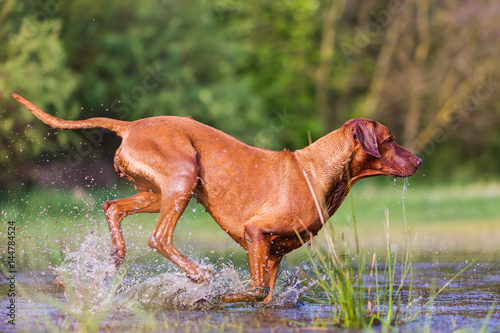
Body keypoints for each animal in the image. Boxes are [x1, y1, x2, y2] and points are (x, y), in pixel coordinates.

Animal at [10, 92, 418, 300]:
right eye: (390, 140)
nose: (418, 160)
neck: (318, 169)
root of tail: (130, 125)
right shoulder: (256, 234)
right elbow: (254, 291)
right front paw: (225, 295)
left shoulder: (273, 255)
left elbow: (266, 295)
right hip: (183, 177)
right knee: (159, 238)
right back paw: (199, 275)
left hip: (160, 192)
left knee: (112, 208)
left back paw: (116, 256)